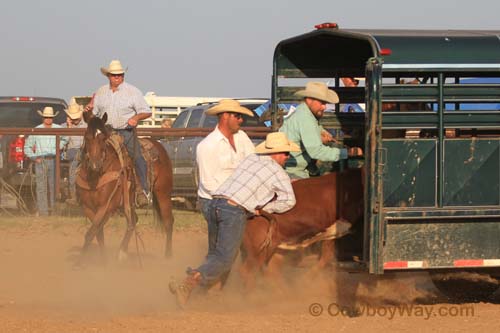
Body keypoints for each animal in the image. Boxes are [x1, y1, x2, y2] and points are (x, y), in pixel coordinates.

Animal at [75, 113, 175, 264]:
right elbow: (98, 233)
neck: (95, 177)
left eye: (103, 138)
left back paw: (168, 256)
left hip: (163, 193)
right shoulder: (88, 207)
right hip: (127, 203)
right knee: (133, 221)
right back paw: (122, 252)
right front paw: (103, 260)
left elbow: (91, 232)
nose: (95, 164)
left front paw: (79, 264)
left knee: (168, 221)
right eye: (87, 137)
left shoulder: (107, 206)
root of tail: (159, 146)